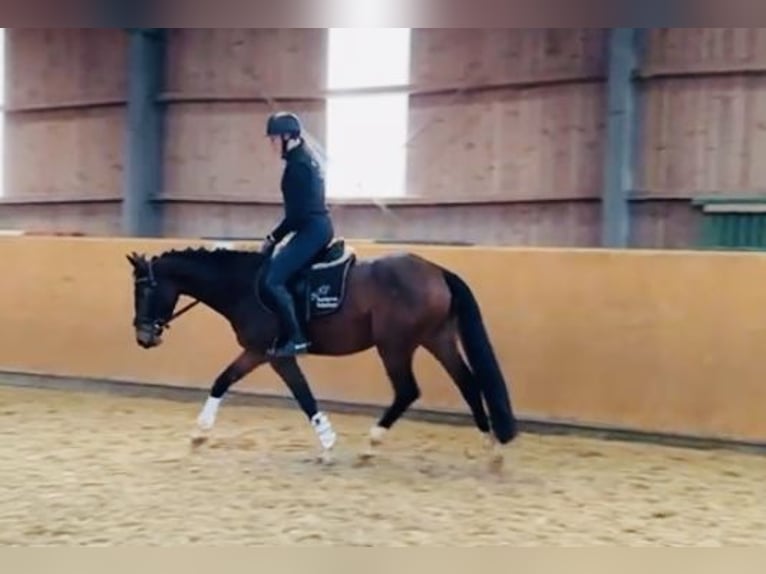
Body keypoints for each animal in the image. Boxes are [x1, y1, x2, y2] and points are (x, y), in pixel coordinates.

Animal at [127, 238, 520, 468]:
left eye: (145, 290)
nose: (143, 337)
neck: (244, 285)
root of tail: (437, 270)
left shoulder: (275, 354)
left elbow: (304, 396)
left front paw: (328, 445)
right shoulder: (257, 352)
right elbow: (222, 381)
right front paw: (198, 436)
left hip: (395, 345)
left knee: (408, 390)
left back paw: (370, 446)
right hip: (436, 338)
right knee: (468, 384)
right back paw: (493, 449)